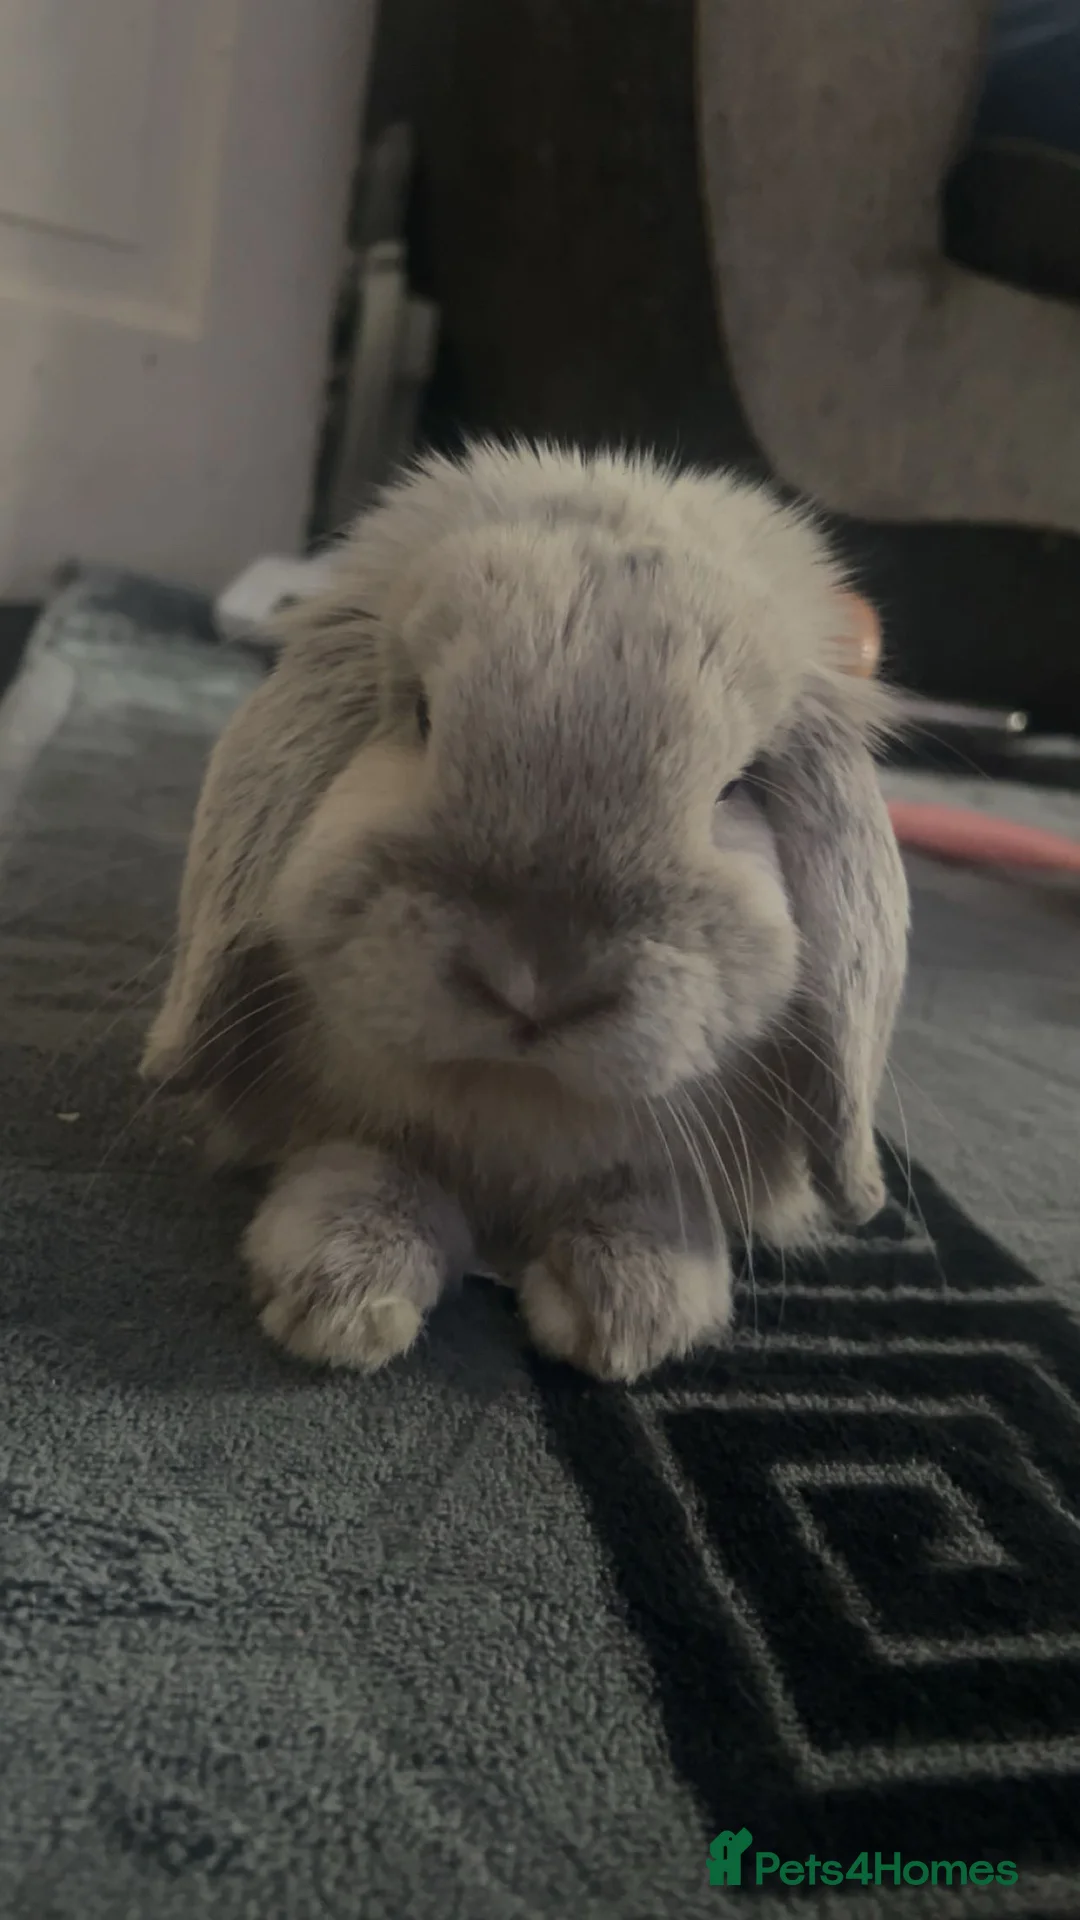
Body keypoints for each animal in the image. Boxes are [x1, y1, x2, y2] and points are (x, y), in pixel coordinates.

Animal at [141, 441, 909, 1382]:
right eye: (422, 715)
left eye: (740, 785)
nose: (535, 982)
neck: (516, 1101)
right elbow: (366, 1166)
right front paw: (342, 1299)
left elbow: (647, 1203)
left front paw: (629, 1319)